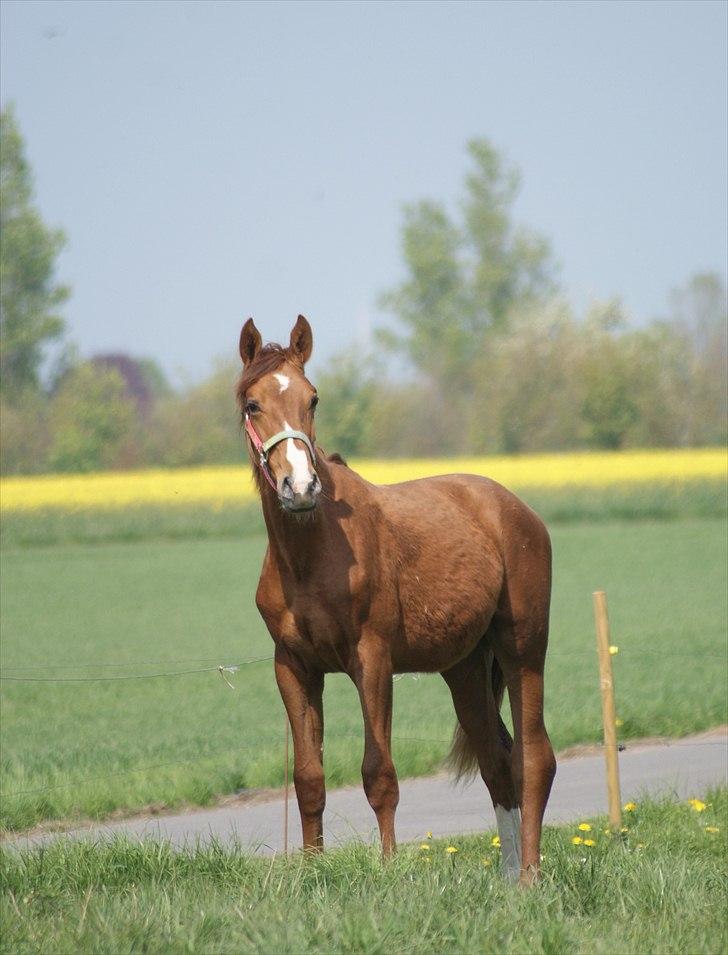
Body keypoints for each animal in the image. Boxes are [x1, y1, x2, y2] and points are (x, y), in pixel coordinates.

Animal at [236, 318, 556, 884]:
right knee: (497, 762)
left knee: (534, 758)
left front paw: (387, 872)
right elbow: (309, 778)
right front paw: (313, 873)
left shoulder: (373, 661)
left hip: (523, 650)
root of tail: (517, 510)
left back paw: (529, 877)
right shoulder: (293, 667)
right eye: (253, 404)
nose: (301, 486)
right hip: (465, 669)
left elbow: (379, 772)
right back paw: (507, 877)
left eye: (312, 398)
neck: (312, 551)